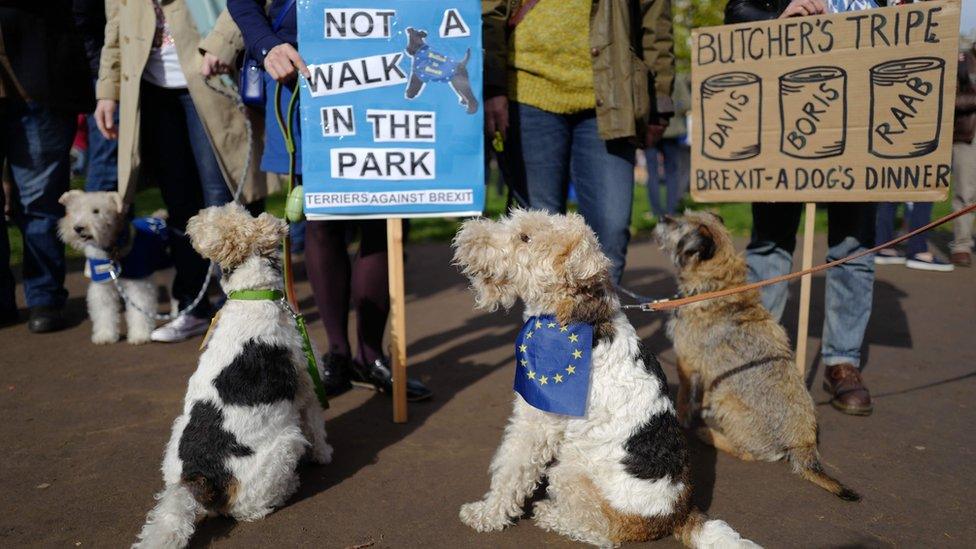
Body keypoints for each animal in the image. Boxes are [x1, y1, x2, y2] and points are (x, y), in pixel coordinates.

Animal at [58, 189, 168, 342]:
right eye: (75, 211)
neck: (112, 250)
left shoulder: (137, 284)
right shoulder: (102, 285)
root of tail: (158, 217)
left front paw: (140, 335)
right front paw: (105, 335)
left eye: (96, 211)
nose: (78, 228)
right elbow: (104, 312)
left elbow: (139, 309)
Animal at [133, 203, 332, 544]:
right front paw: (324, 455)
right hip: (285, 445)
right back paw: (288, 488)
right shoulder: (308, 388)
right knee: (247, 510)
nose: (191, 221)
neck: (252, 296)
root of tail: (196, 478)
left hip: (174, 439)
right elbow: (317, 428)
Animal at [454, 208, 760, 544]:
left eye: (525, 237)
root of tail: (679, 513)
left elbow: (511, 470)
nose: (465, 235)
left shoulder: (535, 421)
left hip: (570, 469)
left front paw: (485, 515)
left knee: (601, 531)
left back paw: (549, 513)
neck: (573, 315)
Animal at [652, 211, 856, 500]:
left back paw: (708, 433)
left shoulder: (687, 363)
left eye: (679, 226)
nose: (662, 216)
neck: (717, 285)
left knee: (746, 453)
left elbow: (683, 398)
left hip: (726, 399)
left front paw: (683, 420)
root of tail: (803, 442)